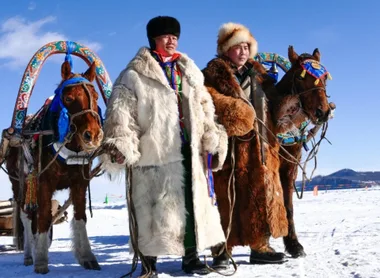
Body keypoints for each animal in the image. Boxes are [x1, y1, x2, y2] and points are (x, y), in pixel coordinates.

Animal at [5, 60, 102, 274]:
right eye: (68, 98)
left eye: (95, 96)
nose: (93, 135)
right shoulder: (43, 183)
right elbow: (42, 217)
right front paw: (41, 260)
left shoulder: (80, 183)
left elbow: (80, 217)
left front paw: (87, 257)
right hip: (19, 185)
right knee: (26, 217)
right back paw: (29, 254)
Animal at [274, 46, 332, 258]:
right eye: (300, 78)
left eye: (324, 78)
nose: (322, 112)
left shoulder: (289, 167)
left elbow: (288, 206)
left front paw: (293, 244)